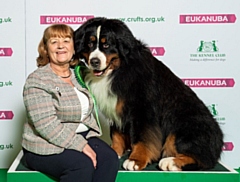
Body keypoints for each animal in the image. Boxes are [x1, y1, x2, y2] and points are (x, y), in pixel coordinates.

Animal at [74, 17, 224, 171]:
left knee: (204, 159)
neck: (118, 70)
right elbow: (116, 134)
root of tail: (219, 140)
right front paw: (115, 151)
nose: (94, 61)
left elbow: (142, 137)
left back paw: (171, 162)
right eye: (90, 44)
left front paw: (136, 159)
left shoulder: (142, 109)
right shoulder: (115, 107)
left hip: (184, 126)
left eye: (106, 45)